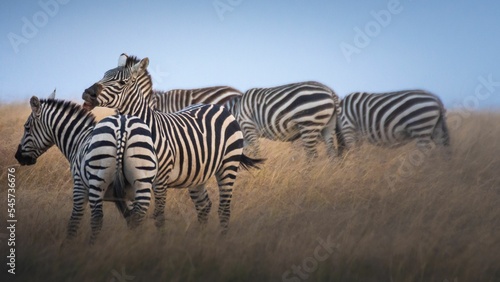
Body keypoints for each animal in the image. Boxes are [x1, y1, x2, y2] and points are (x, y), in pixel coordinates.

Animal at [15, 91, 156, 243]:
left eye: (27, 127)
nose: (17, 156)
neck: (78, 140)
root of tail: (122, 126)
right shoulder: (126, 196)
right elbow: (130, 219)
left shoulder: (79, 185)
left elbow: (74, 219)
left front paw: (68, 244)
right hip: (142, 180)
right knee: (138, 215)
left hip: (96, 180)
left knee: (97, 218)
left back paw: (91, 246)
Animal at [82, 53, 264, 234]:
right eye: (104, 75)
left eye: (121, 83)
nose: (87, 93)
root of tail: (218, 107)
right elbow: (132, 217)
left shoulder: (160, 181)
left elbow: (158, 216)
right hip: (198, 174)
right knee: (204, 205)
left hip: (228, 164)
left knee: (224, 208)